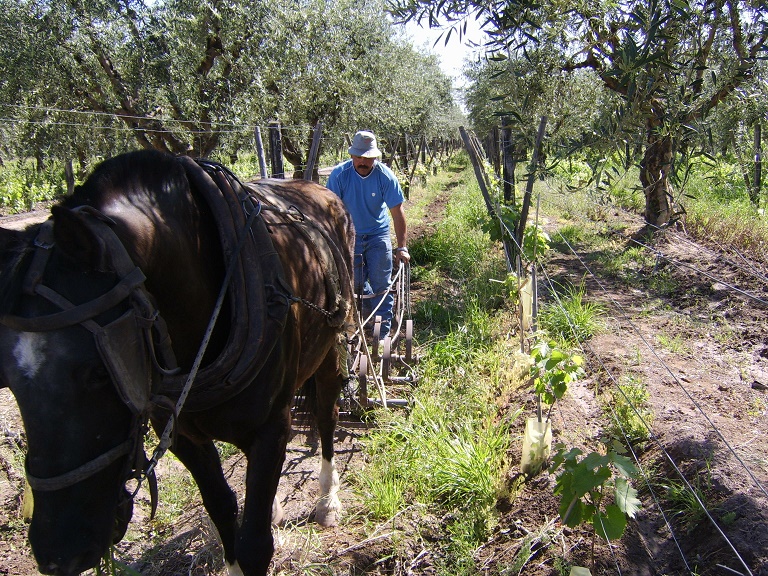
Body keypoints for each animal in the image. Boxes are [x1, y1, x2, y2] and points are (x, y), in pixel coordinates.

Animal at [0, 150, 356, 576]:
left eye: (101, 371)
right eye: (9, 381)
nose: (58, 551)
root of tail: (316, 187)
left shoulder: (272, 428)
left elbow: (255, 543)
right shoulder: (182, 436)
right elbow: (221, 508)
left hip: (333, 347)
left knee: (326, 415)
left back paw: (328, 501)